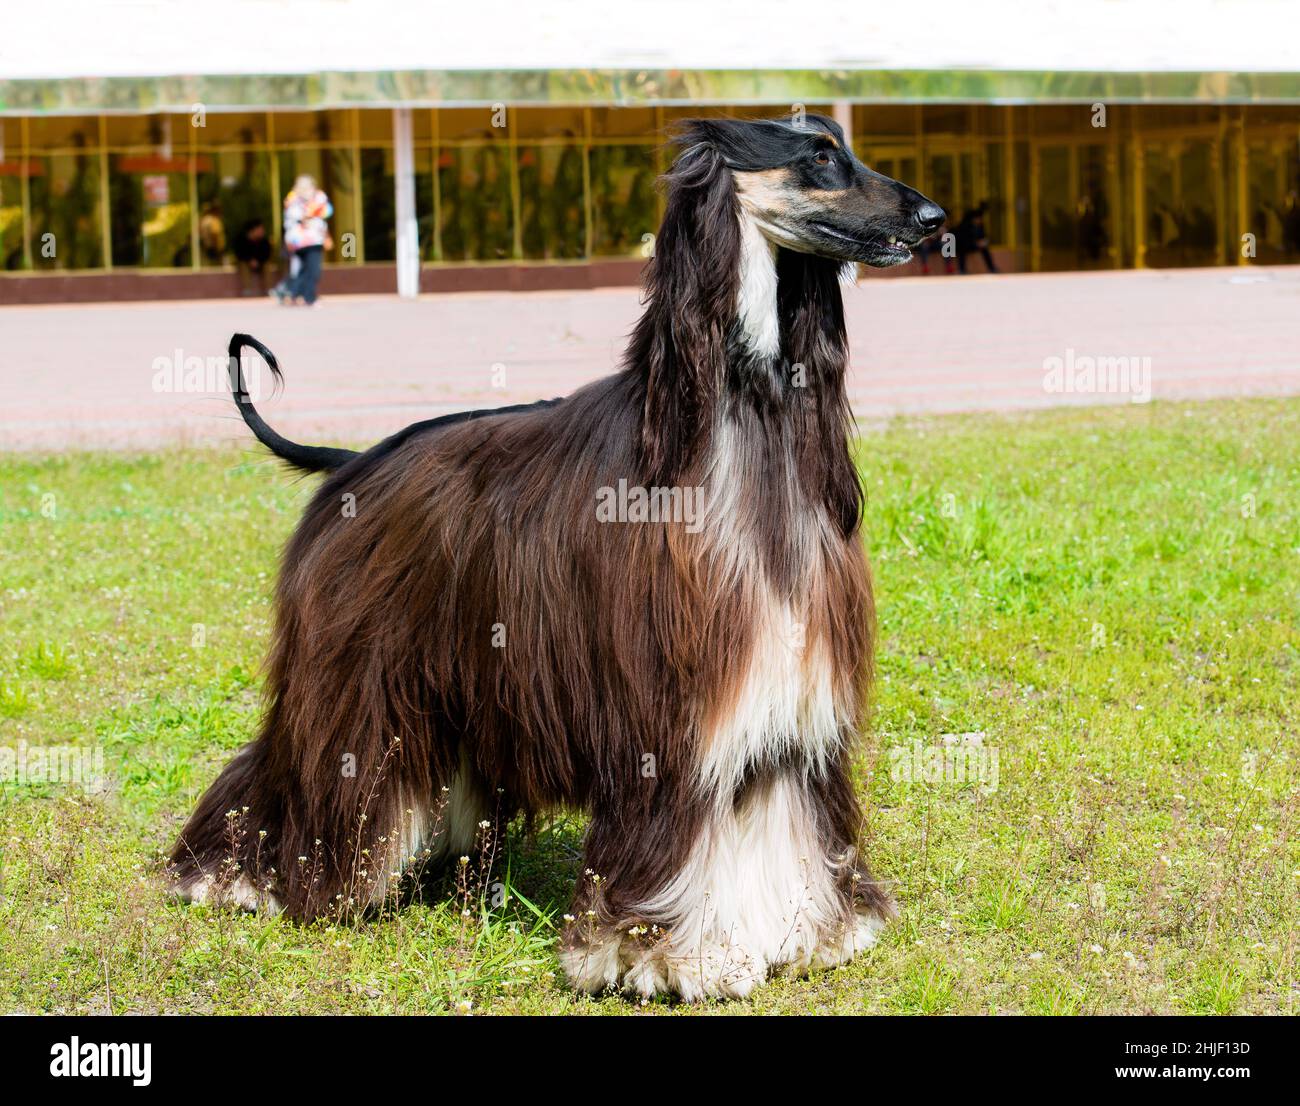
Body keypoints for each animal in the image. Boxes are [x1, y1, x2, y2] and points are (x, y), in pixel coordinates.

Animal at [172, 114, 946, 1003]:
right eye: (820, 157)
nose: (934, 219)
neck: (742, 416)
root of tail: (354, 460)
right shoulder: (669, 708)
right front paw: (656, 953)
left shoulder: (781, 699)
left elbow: (782, 811)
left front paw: (814, 931)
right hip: (352, 675)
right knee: (290, 762)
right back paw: (232, 875)